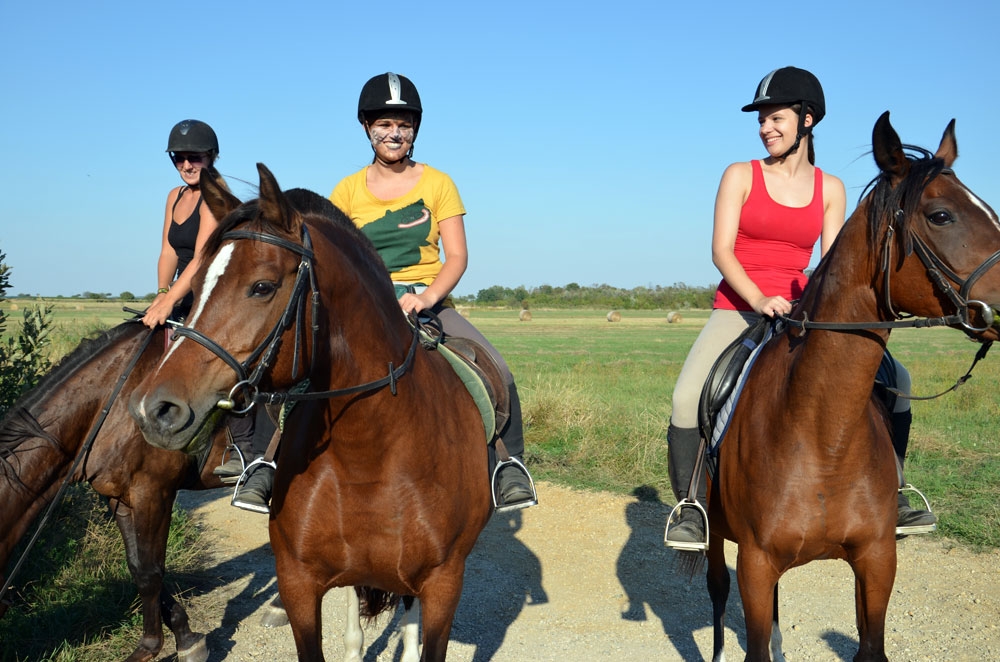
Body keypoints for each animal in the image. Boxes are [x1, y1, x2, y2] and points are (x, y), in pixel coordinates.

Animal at [129, 167, 496, 662]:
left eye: (262, 286)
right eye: (197, 282)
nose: (155, 410)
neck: (371, 453)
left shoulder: (444, 583)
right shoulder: (298, 583)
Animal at [696, 115, 1000, 662]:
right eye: (941, 215)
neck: (823, 436)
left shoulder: (877, 562)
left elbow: (869, 640)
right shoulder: (754, 562)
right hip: (718, 543)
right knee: (716, 590)